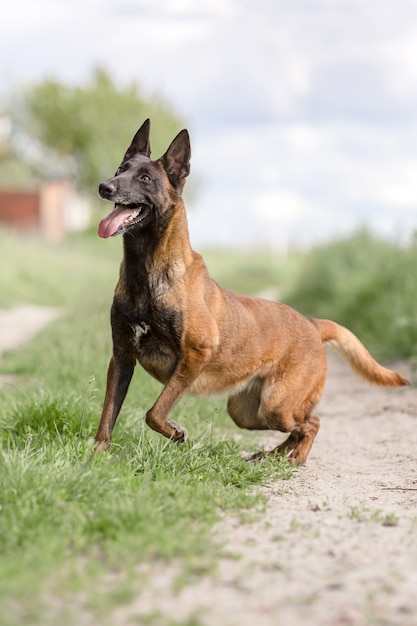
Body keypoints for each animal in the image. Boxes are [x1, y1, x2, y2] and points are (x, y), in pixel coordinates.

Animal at [93, 119, 406, 464]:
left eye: (145, 178)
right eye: (120, 169)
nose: (104, 187)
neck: (147, 272)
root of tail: (312, 324)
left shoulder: (195, 355)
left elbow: (155, 412)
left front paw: (175, 432)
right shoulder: (122, 358)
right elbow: (108, 413)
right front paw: (96, 456)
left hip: (276, 405)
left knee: (312, 423)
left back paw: (295, 459)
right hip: (247, 412)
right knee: (298, 427)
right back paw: (271, 456)